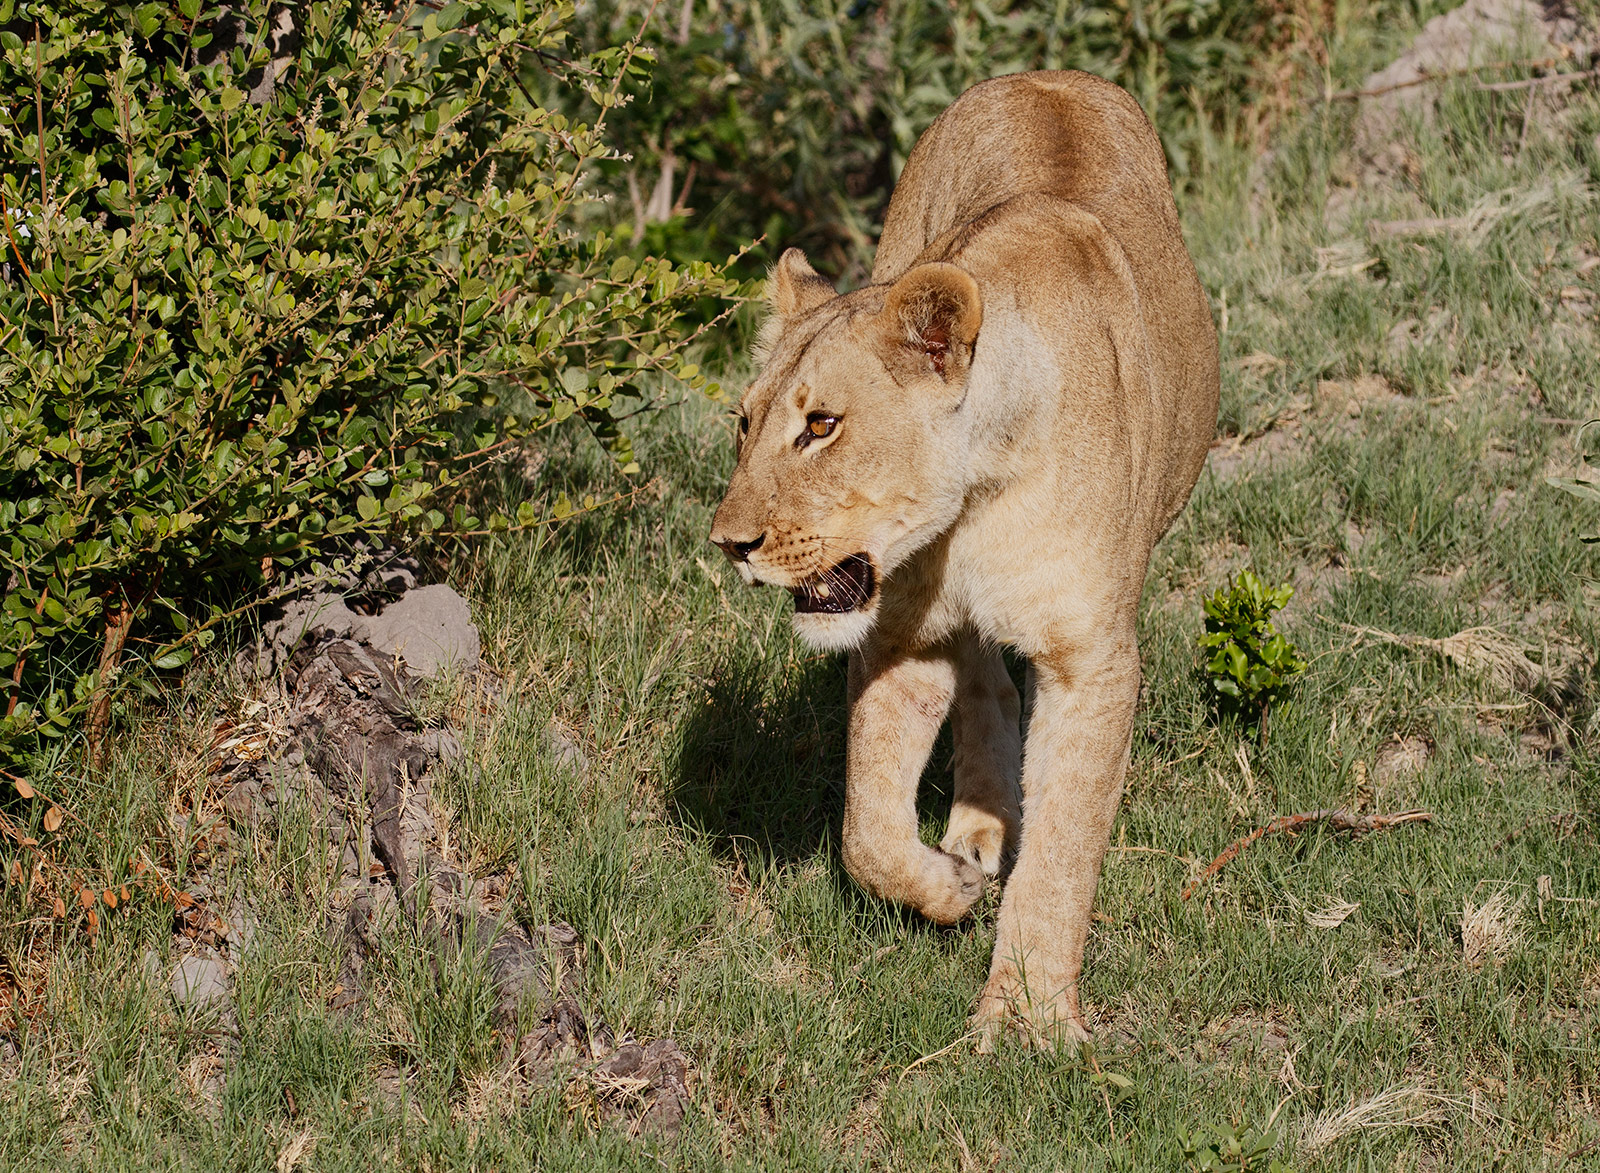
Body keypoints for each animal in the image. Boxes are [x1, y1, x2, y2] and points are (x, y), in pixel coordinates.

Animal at [708, 70, 1219, 1046]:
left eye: (821, 424)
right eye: (744, 424)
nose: (730, 544)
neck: (976, 499)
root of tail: (1041, 75)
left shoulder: (1093, 662)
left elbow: (1062, 853)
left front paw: (1029, 1020)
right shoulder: (901, 633)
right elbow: (867, 830)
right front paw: (949, 889)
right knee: (984, 682)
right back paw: (978, 830)